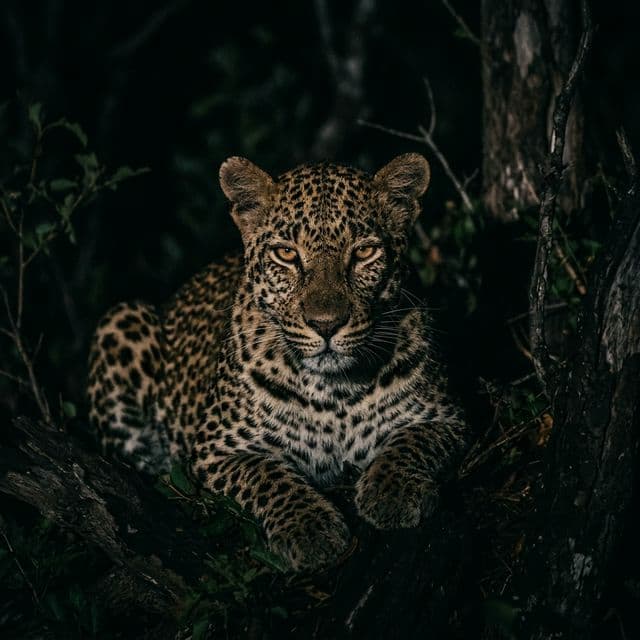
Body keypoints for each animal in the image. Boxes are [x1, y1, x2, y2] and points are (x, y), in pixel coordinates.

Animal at [87, 153, 468, 572]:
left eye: (364, 253)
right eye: (286, 254)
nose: (326, 324)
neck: (335, 392)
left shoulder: (445, 417)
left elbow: (409, 442)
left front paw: (393, 492)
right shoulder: (217, 450)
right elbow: (267, 475)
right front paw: (309, 529)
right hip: (119, 320)